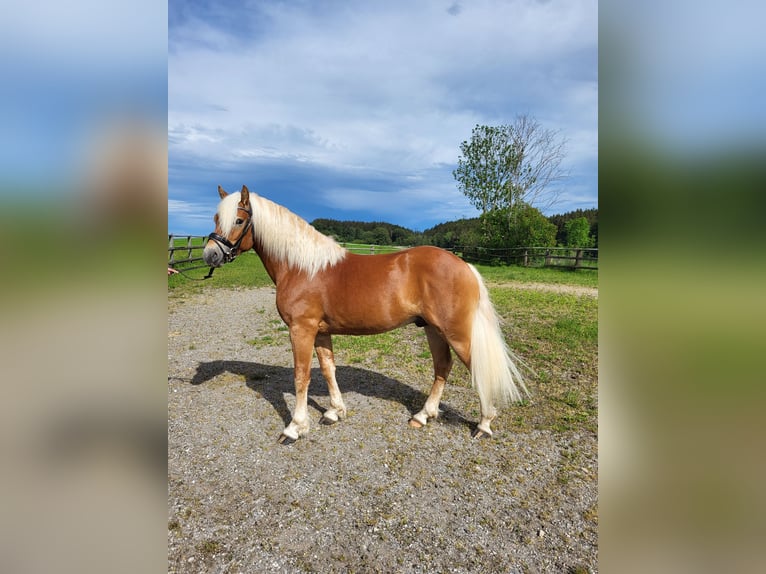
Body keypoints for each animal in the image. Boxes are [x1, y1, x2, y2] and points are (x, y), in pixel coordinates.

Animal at [202, 186, 528, 446]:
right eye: (217, 218)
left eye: (239, 220)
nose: (210, 255)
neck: (301, 267)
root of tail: (464, 266)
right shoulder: (321, 331)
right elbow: (328, 370)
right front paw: (334, 412)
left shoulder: (301, 330)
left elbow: (301, 376)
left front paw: (295, 428)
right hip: (433, 329)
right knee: (442, 367)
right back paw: (423, 415)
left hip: (457, 333)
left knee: (476, 369)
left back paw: (484, 424)